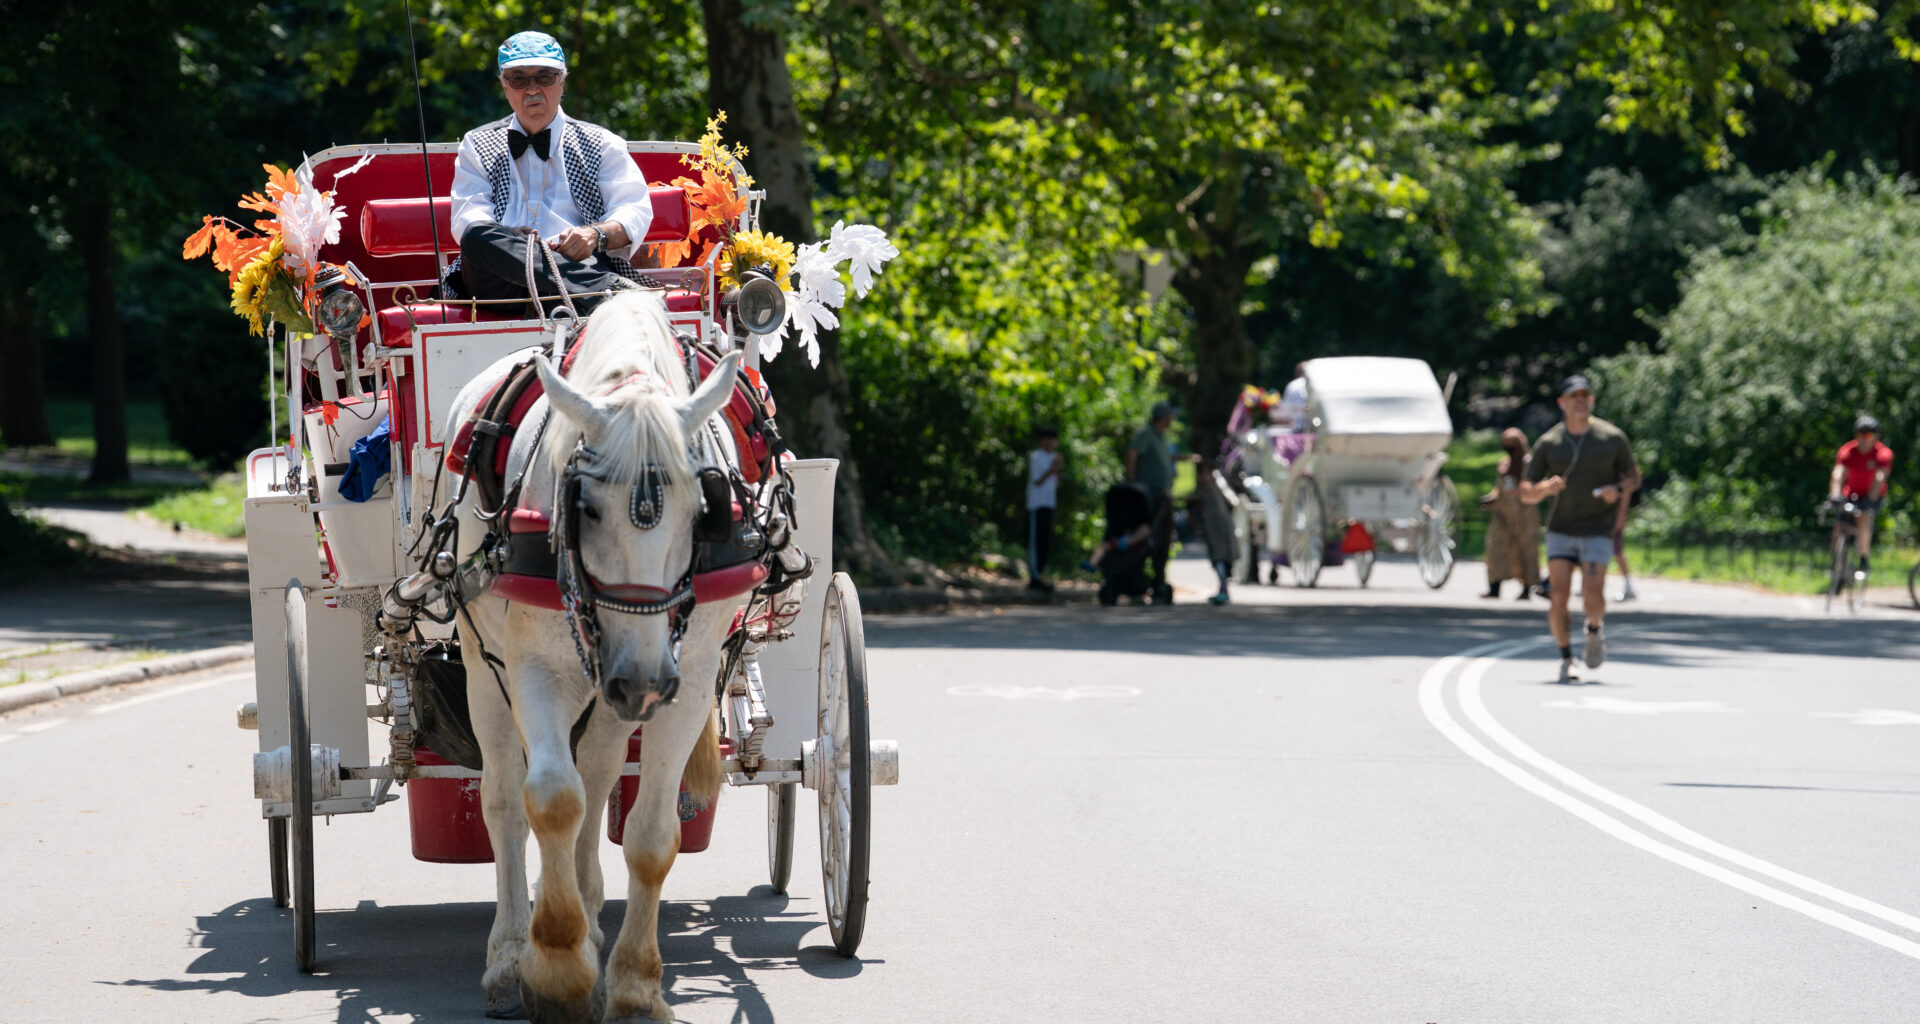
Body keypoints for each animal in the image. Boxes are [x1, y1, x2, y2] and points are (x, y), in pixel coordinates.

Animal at [443, 291, 748, 1023]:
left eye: (705, 508)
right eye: (586, 507)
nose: (641, 678)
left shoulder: (689, 675)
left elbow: (651, 834)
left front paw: (634, 984)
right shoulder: (534, 669)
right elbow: (551, 801)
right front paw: (555, 966)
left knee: (602, 771)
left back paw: (587, 910)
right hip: (487, 664)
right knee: (504, 798)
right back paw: (510, 953)